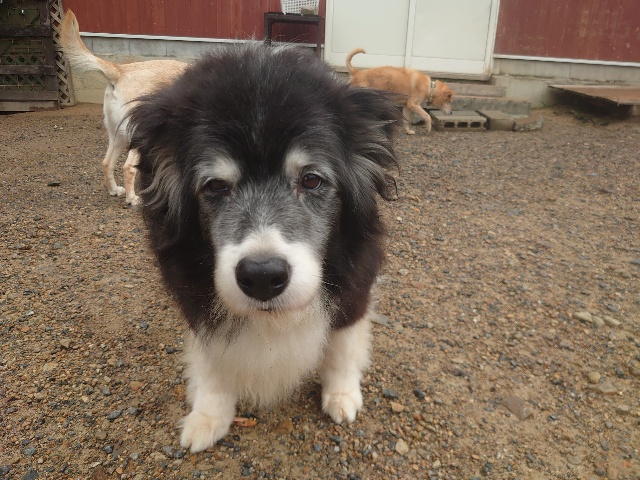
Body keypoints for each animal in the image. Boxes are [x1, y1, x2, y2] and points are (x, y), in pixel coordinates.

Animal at [60, 10, 187, 205]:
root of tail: (120, 71)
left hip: (117, 136)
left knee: (107, 163)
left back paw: (114, 190)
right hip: (136, 136)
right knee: (128, 167)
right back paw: (132, 199)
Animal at [127, 43, 401, 453]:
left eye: (311, 180)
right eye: (215, 186)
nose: (261, 277)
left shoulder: (356, 281)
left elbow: (342, 344)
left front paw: (341, 395)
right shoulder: (193, 294)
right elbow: (212, 358)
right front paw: (209, 415)